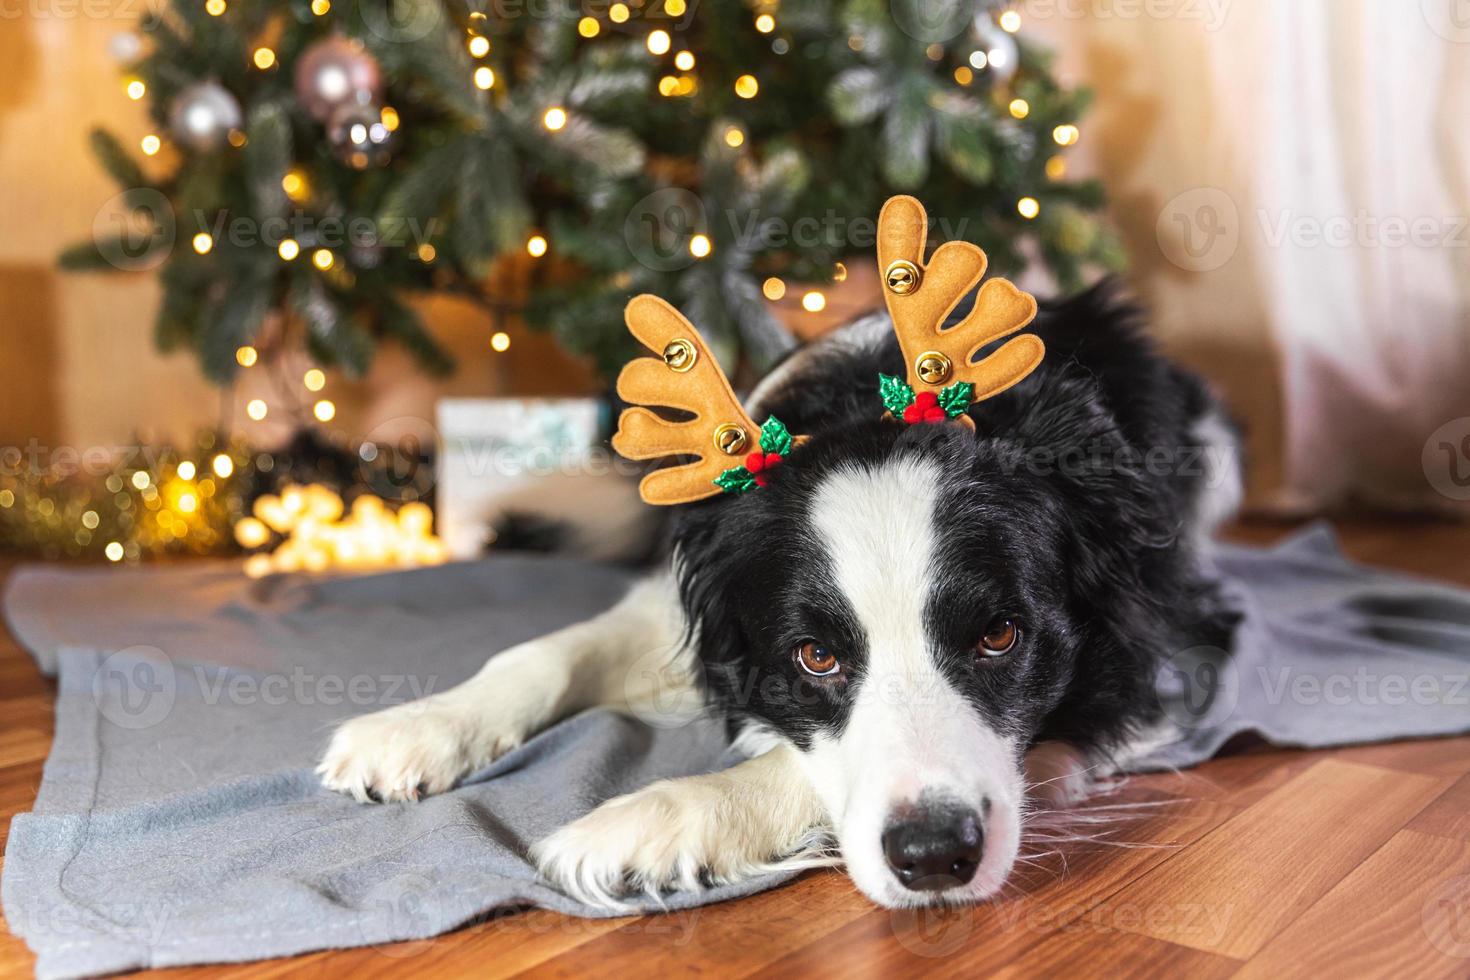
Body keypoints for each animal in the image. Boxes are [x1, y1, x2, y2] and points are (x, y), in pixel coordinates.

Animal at [318, 238, 1240, 910]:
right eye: (817, 657)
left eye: (1000, 637)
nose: (936, 858)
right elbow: (547, 652)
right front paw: (416, 728)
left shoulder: (1154, 653)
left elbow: (797, 764)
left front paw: (641, 825)